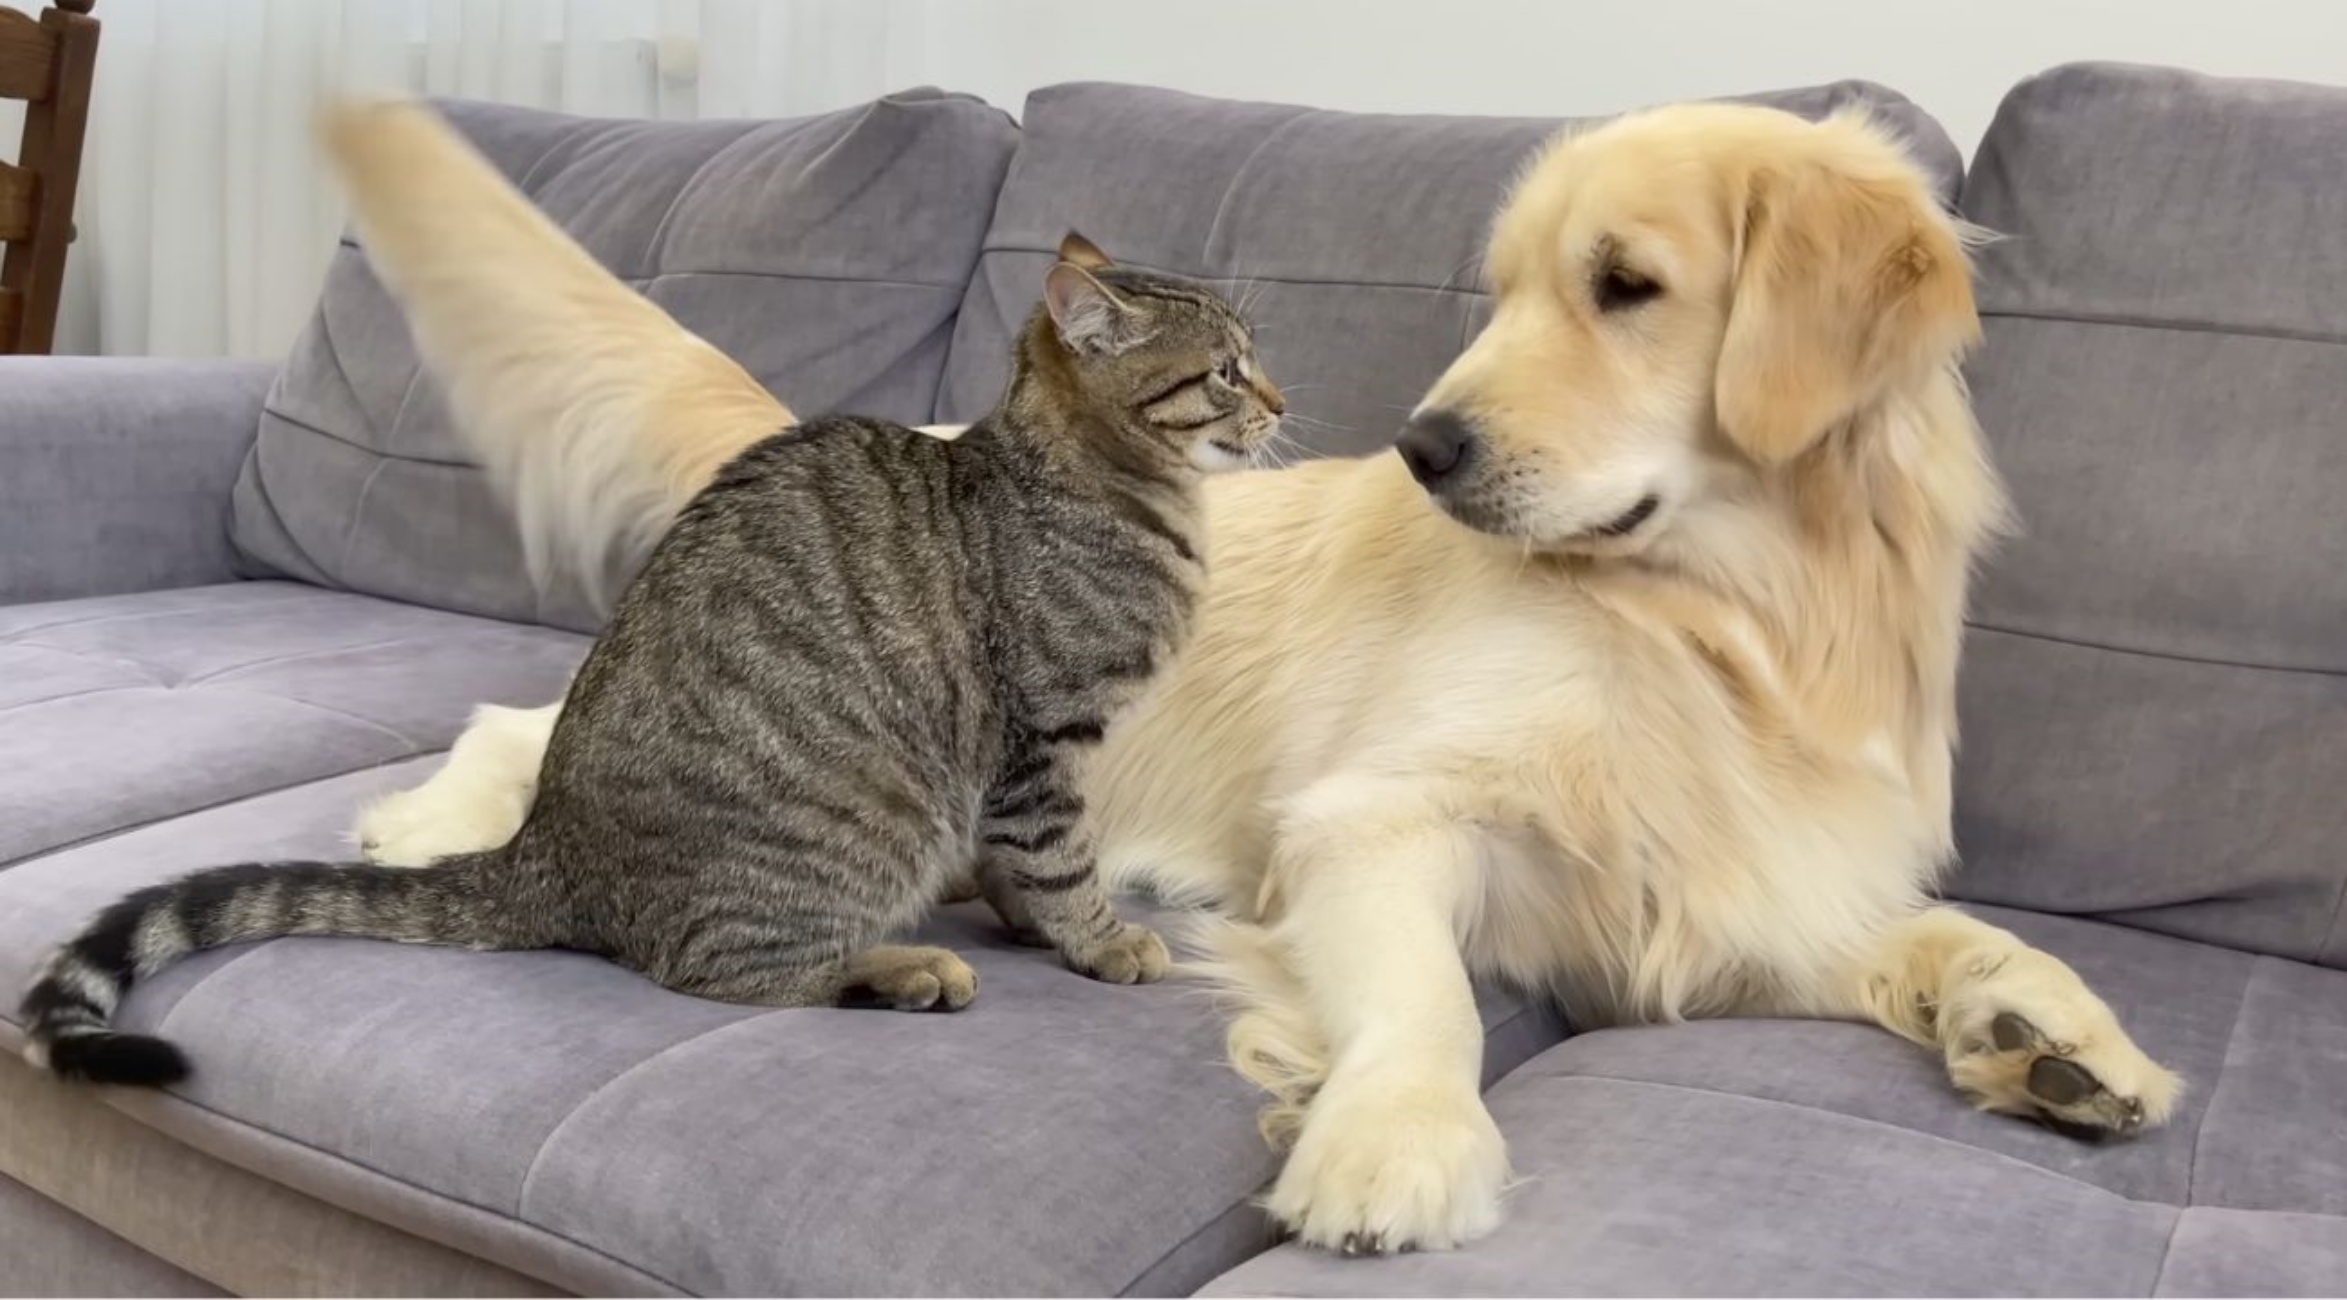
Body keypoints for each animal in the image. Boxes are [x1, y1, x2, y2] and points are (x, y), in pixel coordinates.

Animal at [18, 232, 1286, 1084]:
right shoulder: (1039, 741)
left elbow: (1026, 866)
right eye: (1225, 369)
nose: (1279, 397)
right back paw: (902, 968)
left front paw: (1033, 921)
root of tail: (543, 849)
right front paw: (1097, 938)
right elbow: (1060, 861)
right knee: (718, 973)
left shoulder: (1023, 767)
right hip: (843, 840)